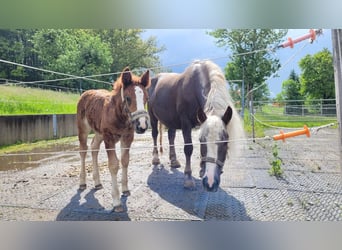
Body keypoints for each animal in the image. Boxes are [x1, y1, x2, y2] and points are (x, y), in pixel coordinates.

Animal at [77, 67, 150, 212]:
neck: (119, 116)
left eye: (146, 98)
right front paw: (116, 202)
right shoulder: (109, 138)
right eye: (128, 98)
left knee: (94, 147)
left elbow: (125, 161)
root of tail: (85, 93)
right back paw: (82, 183)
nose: (142, 126)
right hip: (83, 129)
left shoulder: (127, 138)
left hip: (99, 133)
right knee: (83, 150)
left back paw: (97, 182)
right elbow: (114, 165)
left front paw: (125, 190)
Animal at [148, 60, 244, 191]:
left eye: (225, 141)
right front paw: (188, 178)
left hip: (171, 119)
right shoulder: (186, 123)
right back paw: (155, 158)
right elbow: (188, 149)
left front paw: (202, 170)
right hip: (152, 116)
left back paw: (174, 160)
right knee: (154, 134)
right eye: (202, 140)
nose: (210, 183)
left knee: (171, 136)